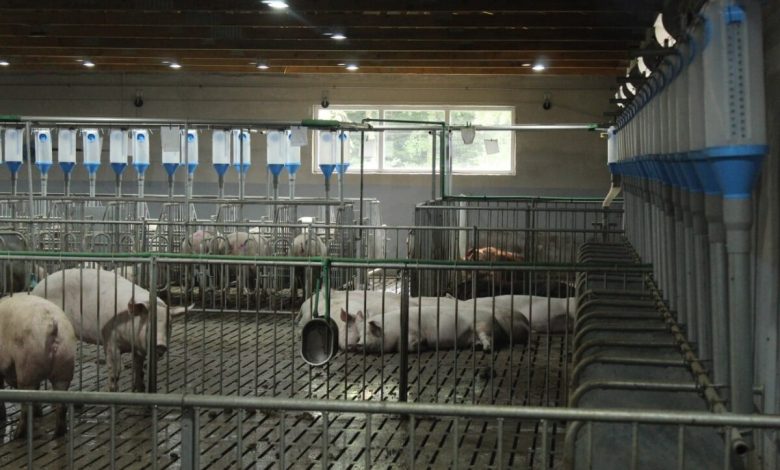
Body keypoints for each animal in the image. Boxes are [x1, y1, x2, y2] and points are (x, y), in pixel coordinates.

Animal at [0, 293, 76, 438]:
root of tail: (52, 325)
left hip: (27, 368)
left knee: (25, 405)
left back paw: (18, 434)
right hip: (65, 363)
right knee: (61, 404)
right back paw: (58, 433)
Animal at [31, 268, 187, 392]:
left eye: (169, 325)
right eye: (149, 324)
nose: (161, 345)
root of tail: (36, 289)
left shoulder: (138, 348)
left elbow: (139, 368)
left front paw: (140, 389)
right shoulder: (110, 339)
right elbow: (115, 369)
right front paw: (111, 391)